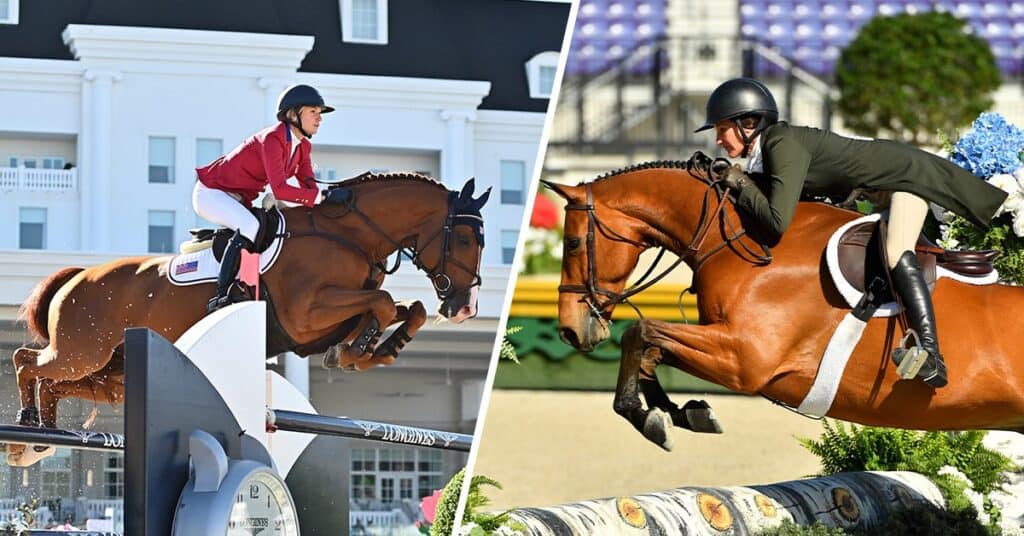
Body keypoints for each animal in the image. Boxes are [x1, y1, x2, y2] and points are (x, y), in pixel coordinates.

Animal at [11, 173, 490, 462]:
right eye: (466, 238)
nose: (465, 308)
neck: (348, 235)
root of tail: (78, 277)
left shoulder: (320, 327)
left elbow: (406, 308)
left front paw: (373, 348)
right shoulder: (306, 315)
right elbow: (387, 301)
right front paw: (362, 348)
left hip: (109, 375)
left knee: (52, 381)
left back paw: (38, 440)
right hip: (83, 352)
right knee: (26, 361)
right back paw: (27, 424)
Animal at [542, 156, 1024, 451]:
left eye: (571, 243)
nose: (569, 329)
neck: (743, 237)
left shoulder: (745, 358)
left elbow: (640, 333)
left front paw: (649, 417)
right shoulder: (725, 342)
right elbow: (650, 348)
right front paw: (679, 413)